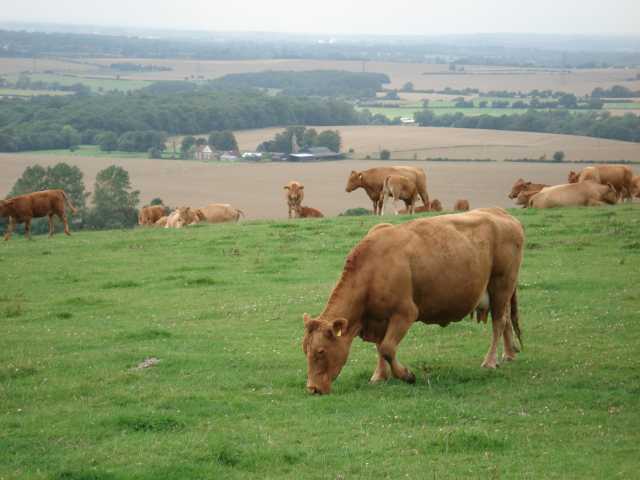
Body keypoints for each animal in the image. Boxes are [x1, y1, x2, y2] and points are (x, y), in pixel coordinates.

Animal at [302, 208, 524, 396]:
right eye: (305, 350)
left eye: (321, 351)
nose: (312, 388)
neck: (372, 269)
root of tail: (502, 213)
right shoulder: (378, 319)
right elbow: (380, 347)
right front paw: (379, 376)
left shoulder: (405, 313)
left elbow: (387, 348)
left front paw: (406, 375)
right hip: (501, 293)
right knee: (505, 320)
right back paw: (509, 354)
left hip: (501, 285)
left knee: (499, 323)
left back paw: (490, 361)